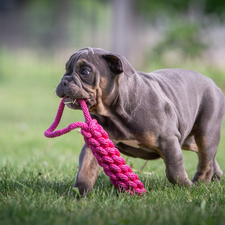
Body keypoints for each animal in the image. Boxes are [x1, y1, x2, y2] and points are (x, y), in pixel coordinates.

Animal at [55, 47, 225, 195]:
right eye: (66, 70)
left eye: (85, 72)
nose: (64, 80)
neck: (115, 111)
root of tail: (214, 85)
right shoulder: (95, 144)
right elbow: (85, 169)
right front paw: (79, 194)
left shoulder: (168, 140)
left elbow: (174, 170)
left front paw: (185, 187)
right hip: (188, 139)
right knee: (207, 156)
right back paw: (215, 178)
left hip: (206, 133)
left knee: (205, 159)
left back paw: (200, 183)